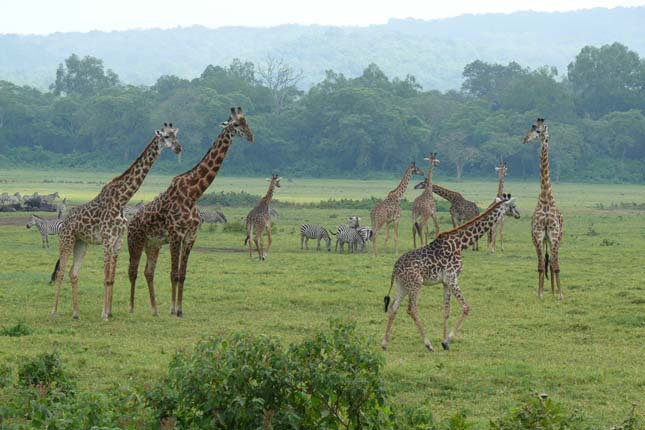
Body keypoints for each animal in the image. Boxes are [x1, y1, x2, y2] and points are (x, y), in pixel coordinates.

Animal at [49, 123, 181, 320]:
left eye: (176, 136)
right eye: (165, 137)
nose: (179, 148)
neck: (122, 199)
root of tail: (63, 223)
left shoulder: (118, 241)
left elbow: (111, 278)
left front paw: (109, 312)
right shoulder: (107, 239)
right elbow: (105, 277)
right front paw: (104, 314)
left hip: (82, 243)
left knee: (73, 273)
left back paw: (76, 313)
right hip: (67, 240)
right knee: (61, 272)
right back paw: (54, 312)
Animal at [127, 106, 253, 316]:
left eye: (247, 122)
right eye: (235, 124)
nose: (251, 136)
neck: (193, 193)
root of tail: (130, 222)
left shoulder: (190, 236)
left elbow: (182, 275)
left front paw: (179, 310)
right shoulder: (175, 234)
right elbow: (173, 274)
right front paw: (172, 309)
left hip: (152, 244)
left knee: (148, 272)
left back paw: (154, 310)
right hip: (135, 241)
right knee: (132, 271)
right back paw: (131, 308)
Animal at [380, 193, 520, 352]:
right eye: (513, 206)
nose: (518, 214)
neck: (460, 243)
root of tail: (395, 268)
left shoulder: (446, 281)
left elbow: (446, 311)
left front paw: (444, 341)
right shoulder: (453, 278)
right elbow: (466, 307)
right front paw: (447, 341)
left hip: (402, 285)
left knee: (393, 308)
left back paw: (384, 343)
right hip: (416, 283)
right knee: (411, 309)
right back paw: (428, 344)